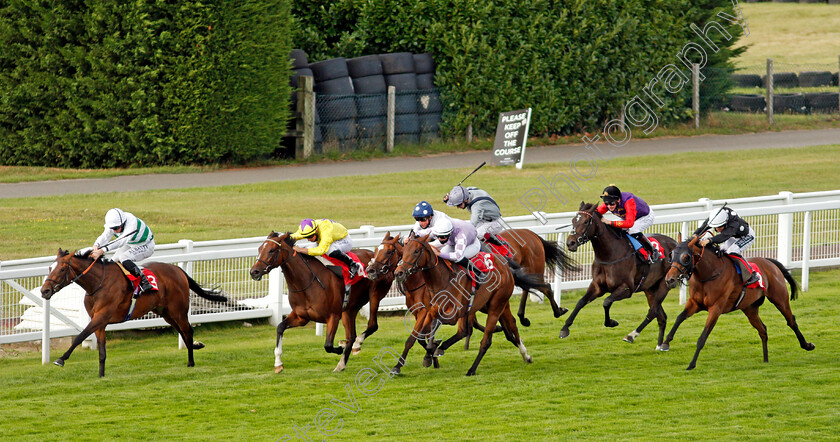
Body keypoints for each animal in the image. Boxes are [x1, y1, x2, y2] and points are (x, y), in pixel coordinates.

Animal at [39, 249, 226, 376]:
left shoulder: (101, 316)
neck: (98, 283)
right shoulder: (99, 321)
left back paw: (191, 362)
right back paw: (195, 346)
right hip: (165, 312)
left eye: (62, 269)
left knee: (187, 331)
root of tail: (178, 270)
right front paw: (101, 375)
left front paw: (61, 359)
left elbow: (80, 336)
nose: (44, 291)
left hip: (178, 310)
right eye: (49, 267)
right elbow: (101, 351)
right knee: (182, 331)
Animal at [248, 231, 392, 372]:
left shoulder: (333, 316)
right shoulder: (301, 317)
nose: (254, 272)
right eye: (259, 249)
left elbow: (328, 345)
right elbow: (280, 327)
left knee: (372, 325)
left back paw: (355, 345)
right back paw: (341, 364)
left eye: (272, 250)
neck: (306, 282)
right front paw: (278, 364)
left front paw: (339, 347)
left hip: (374, 294)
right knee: (351, 335)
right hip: (350, 308)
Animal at [390, 235, 540, 376]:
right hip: (488, 305)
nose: (399, 273)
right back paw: (526, 356)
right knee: (510, 325)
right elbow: (422, 334)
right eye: (403, 252)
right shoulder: (430, 311)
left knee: (486, 340)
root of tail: (506, 267)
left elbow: (434, 325)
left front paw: (433, 349)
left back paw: (472, 369)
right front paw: (429, 354)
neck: (441, 279)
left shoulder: (454, 314)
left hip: (496, 306)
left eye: (416, 251)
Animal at [564, 202, 676, 350]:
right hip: (650, 288)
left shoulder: (626, 289)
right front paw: (564, 328)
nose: (570, 243)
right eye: (572, 221)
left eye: (586, 221)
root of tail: (676, 243)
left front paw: (611, 322)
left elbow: (606, 302)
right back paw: (660, 346)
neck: (609, 255)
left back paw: (631, 336)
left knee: (652, 312)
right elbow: (581, 302)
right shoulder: (597, 286)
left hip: (665, 283)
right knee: (661, 316)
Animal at [664, 235, 812, 370]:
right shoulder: (695, 303)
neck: (709, 274)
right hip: (749, 308)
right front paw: (665, 343)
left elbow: (703, 337)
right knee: (763, 329)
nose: (669, 279)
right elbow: (679, 318)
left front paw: (691, 364)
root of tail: (768, 262)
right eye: (671, 255)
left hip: (780, 299)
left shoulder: (716, 308)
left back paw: (807, 345)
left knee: (791, 321)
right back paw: (765, 359)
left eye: (686, 257)